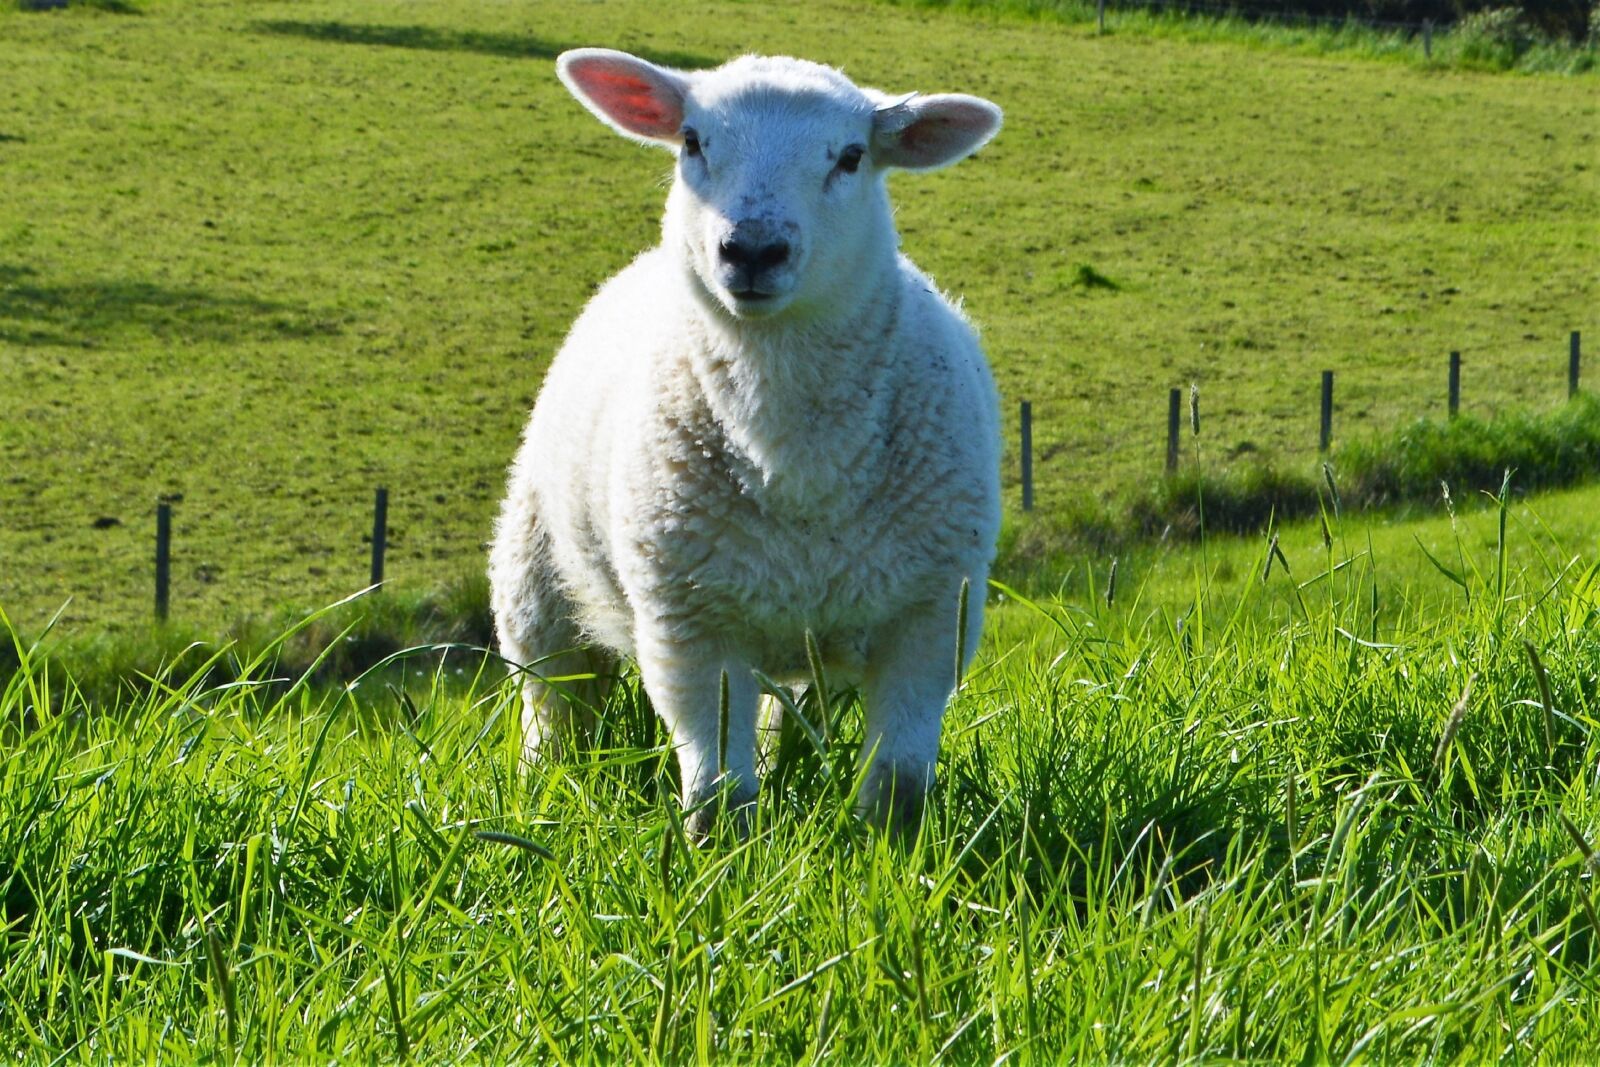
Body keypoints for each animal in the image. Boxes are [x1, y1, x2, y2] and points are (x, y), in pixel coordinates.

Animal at [488, 48, 1003, 835]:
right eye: (693, 141)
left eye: (851, 157)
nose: (753, 250)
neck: (797, 466)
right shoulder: (687, 626)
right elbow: (718, 791)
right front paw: (720, 857)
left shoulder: (932, 616)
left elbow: (897, 786)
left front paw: (893, 854)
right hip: (533, 571)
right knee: (552, 698)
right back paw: (543, 788)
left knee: (786, 714)